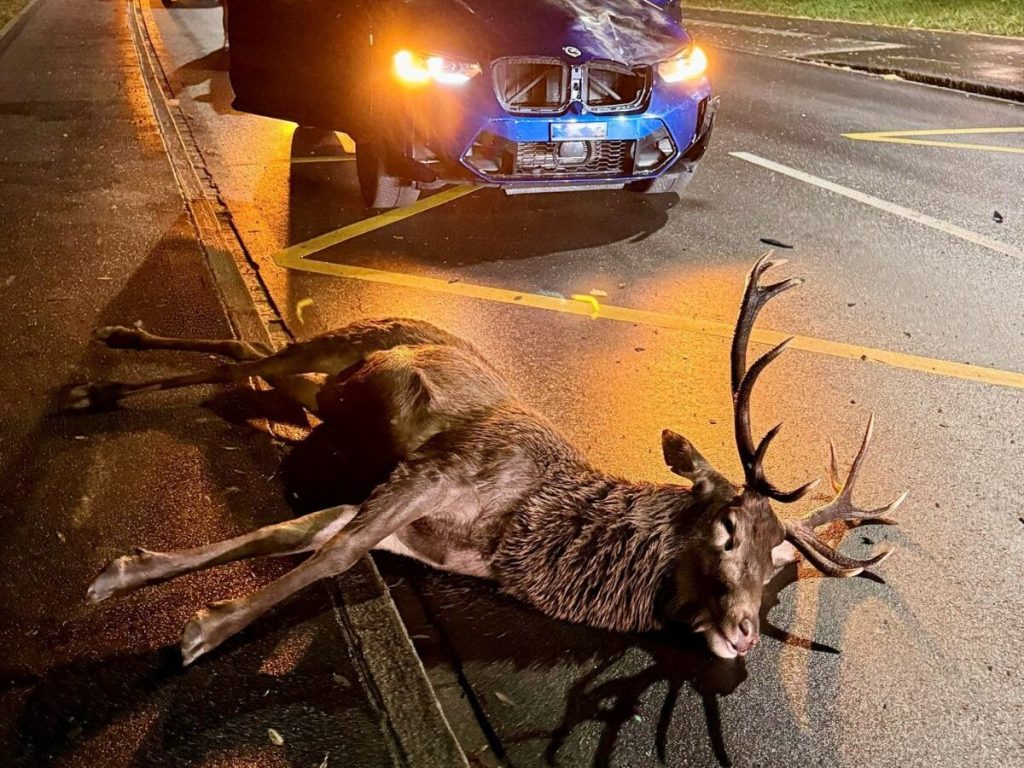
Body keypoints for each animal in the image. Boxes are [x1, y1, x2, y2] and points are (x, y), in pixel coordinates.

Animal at [66, 255, 906, 665]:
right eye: (729, 531)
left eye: (774, 570)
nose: (743, 634)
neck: (519, 532)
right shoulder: (436, 471)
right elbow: (333, 556)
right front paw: (204, 627)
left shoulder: (412, 526)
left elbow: (299, 537)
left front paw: (129, 572)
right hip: (341, 345)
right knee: (257, 351)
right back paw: (107, 355)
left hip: (321, 392)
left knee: (246, 355)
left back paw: (104, 377)